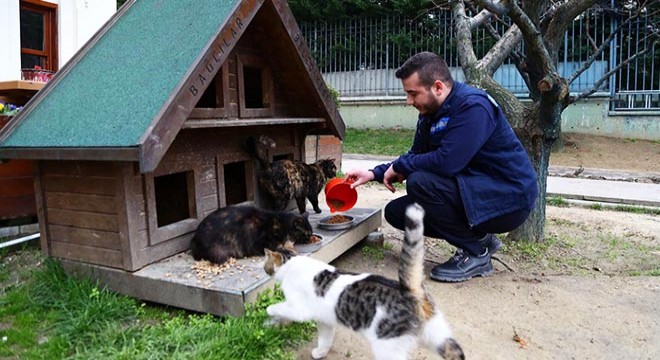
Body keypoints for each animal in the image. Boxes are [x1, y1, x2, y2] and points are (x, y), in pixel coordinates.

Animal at [262, 204, 464, 358]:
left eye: (266, 265)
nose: (265, 270)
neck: (293, 261)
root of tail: (409, 291)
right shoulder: (326, 320)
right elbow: (325, 339)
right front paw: (320, 352)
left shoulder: (299, 310)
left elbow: (279, 308)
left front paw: (269, 311)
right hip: (437, 335)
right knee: (456, 352)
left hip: (387, 347)